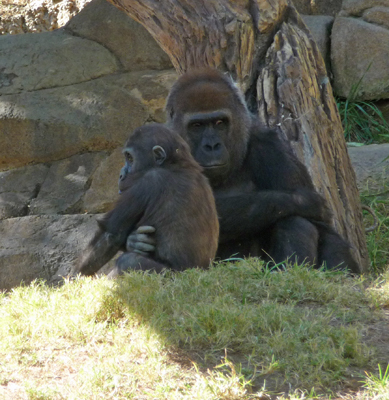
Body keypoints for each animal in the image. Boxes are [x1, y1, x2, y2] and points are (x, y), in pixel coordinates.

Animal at [73, 123, 218, 276]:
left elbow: (111, 234)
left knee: (128, 261)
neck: (176, 164)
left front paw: (74, 278)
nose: (121, 174)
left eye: (130, 159)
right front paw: (134, 241)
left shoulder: (148, 181)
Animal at [126, 70, 358, 274]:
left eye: (220, 123)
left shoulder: (270, 147)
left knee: (295, 221)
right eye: (197, 125)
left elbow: (323, 226)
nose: (212, 146)